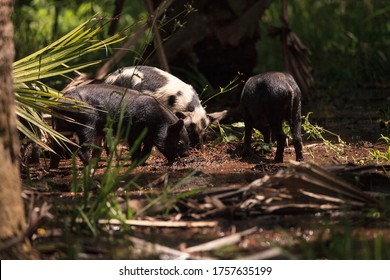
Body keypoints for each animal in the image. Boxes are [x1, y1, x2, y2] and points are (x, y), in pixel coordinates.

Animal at [49, 83, 190, 168]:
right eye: (180, 142)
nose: (186, 155)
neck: (158, 122)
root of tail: (58, 103)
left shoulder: (149, 138)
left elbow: (147, 150)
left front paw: (141, 163)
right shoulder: (134, 130)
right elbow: (135, 147)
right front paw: (135, 164)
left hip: (62, 127)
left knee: (56, 146)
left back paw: (53, 168)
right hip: (87, 123)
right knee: (82, 148)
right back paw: (90, 166)